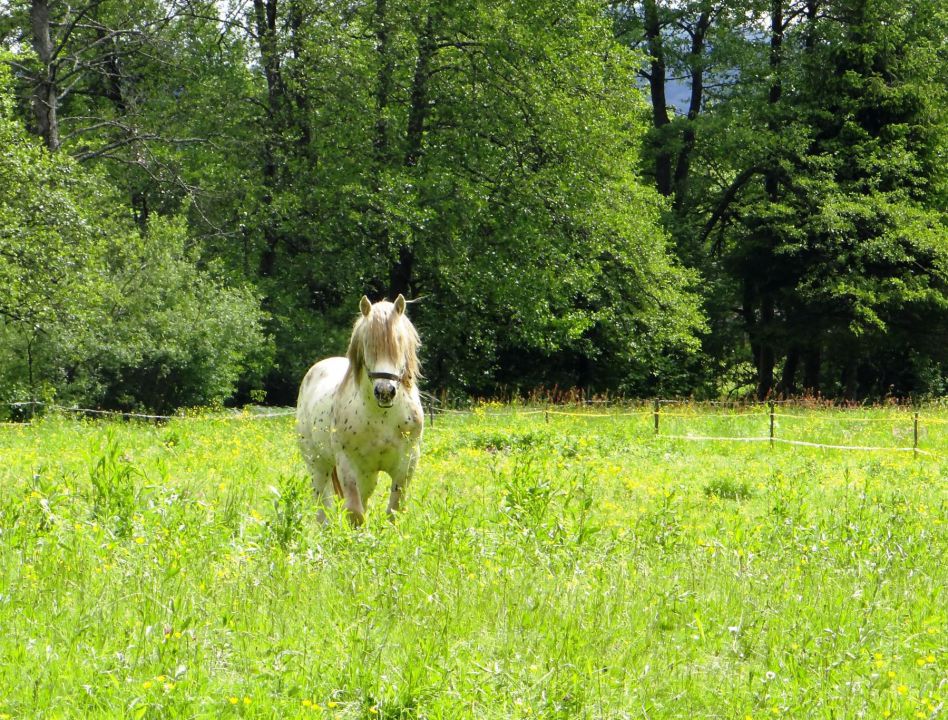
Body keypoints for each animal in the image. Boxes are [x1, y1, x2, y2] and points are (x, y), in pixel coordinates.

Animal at [298, 292, 424, 524]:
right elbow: (355, 513)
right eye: (367, 342)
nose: (385, 391)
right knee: (322, 506)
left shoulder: (406, 464)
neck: (382, 417)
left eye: (399, 341)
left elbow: (393, 511)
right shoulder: (348, 465)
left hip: (367, 476)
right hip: (318, 465)